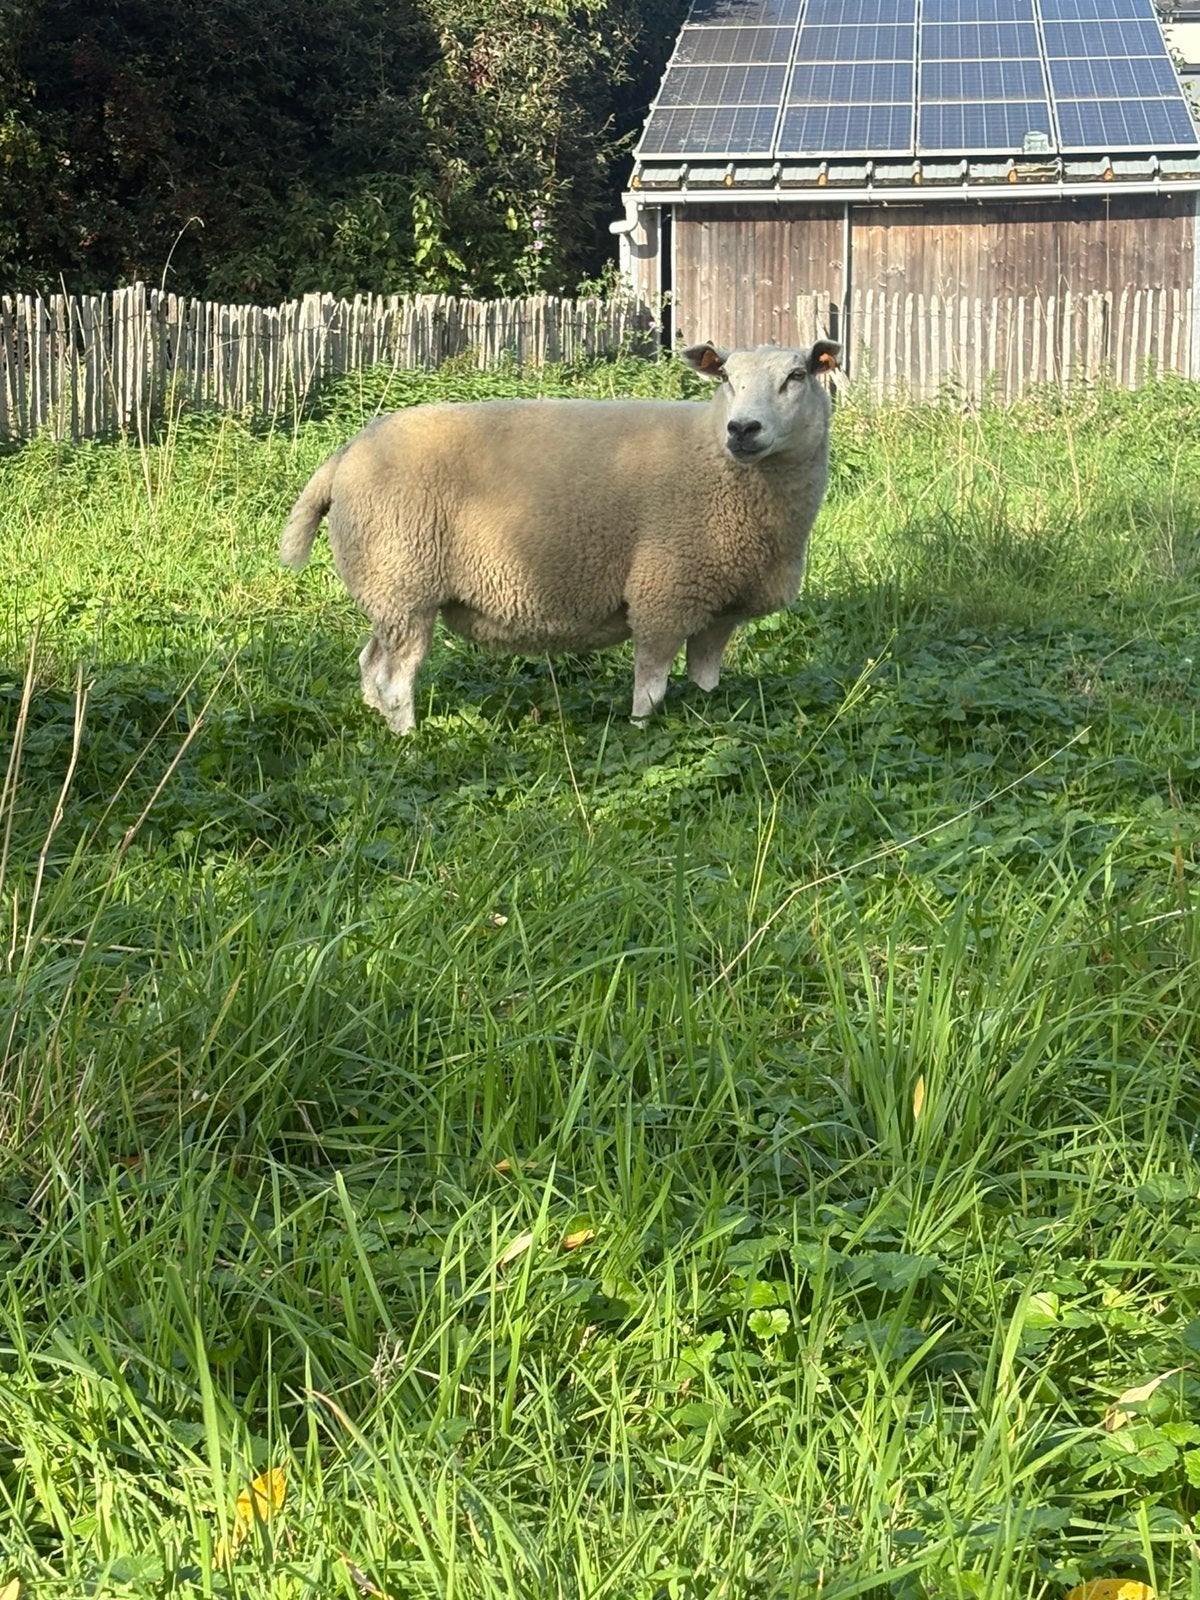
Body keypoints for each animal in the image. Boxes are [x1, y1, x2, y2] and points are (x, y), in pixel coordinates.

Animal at [280, 339, 840, 732]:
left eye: (797, 375)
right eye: (724, 376)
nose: (742, 429)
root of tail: (345, 454)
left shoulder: (719, 604)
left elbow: (705, 682)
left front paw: (708, 722)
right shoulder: (663, 592)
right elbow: (651, 688)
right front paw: (639, 732)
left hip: (387, 589)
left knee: (370, 664)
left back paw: (375, 724)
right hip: (404, 579)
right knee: (396, 679)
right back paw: (408, 742)